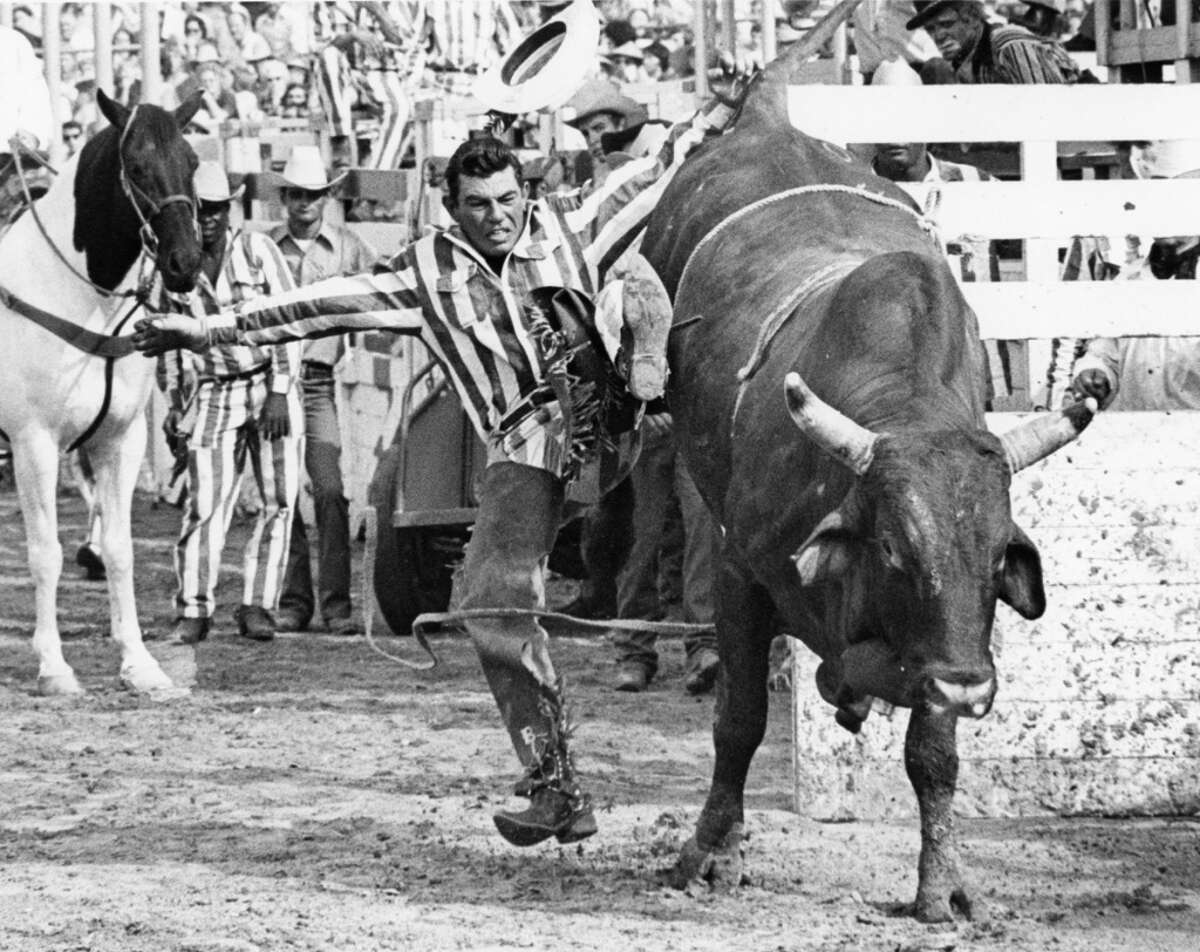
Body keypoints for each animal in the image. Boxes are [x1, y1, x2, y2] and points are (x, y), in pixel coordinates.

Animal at [1, 91, 202, 691]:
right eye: (135, 168)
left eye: (193, 162)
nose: (185, 264)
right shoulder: (34, 444)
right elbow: (45, 553)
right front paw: (53, 666)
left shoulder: (119, 441)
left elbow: (118, 549)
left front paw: (139, 662)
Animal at [643, 5, 1094, 921]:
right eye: (893, 546)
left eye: (996, 556)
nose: (969, 691)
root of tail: (767, 116)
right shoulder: (743, 579)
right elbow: (741, 721)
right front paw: (709, 853)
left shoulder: (950, 642)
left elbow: (933, 755)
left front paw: (942, 885)